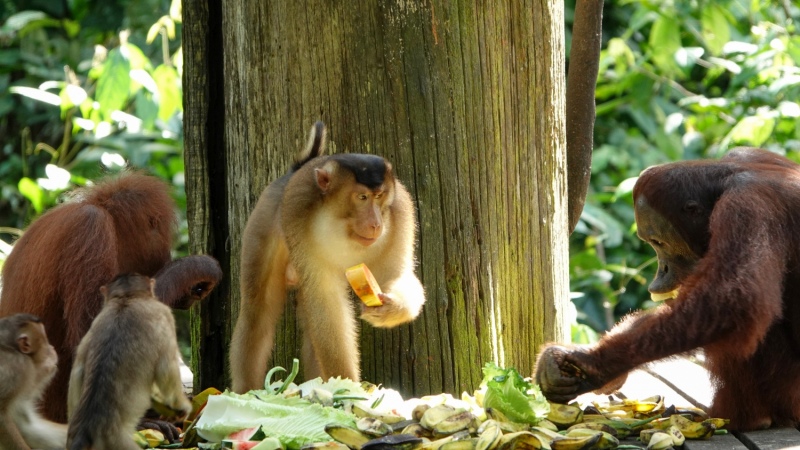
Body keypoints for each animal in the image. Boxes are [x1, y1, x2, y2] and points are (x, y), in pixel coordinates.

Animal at [66, 274, 190, 450]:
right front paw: (182, 409)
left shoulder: (96, 321)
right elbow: (166, 367)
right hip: (119, 442)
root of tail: (87, 430)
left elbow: (77, 368)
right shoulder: (164, 314)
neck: (126, 298)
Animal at [231, 121, 424, 392]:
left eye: (379, 196)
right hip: (262, 222)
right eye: (362, 197)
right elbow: (325, 299)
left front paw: (392, 309)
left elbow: (395, 275)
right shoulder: (298, 215)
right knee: (257, 313)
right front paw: (348, 386)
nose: (376, 224)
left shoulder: (400, 214)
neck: (339, 223)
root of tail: (294, 170)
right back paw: (247, 392)